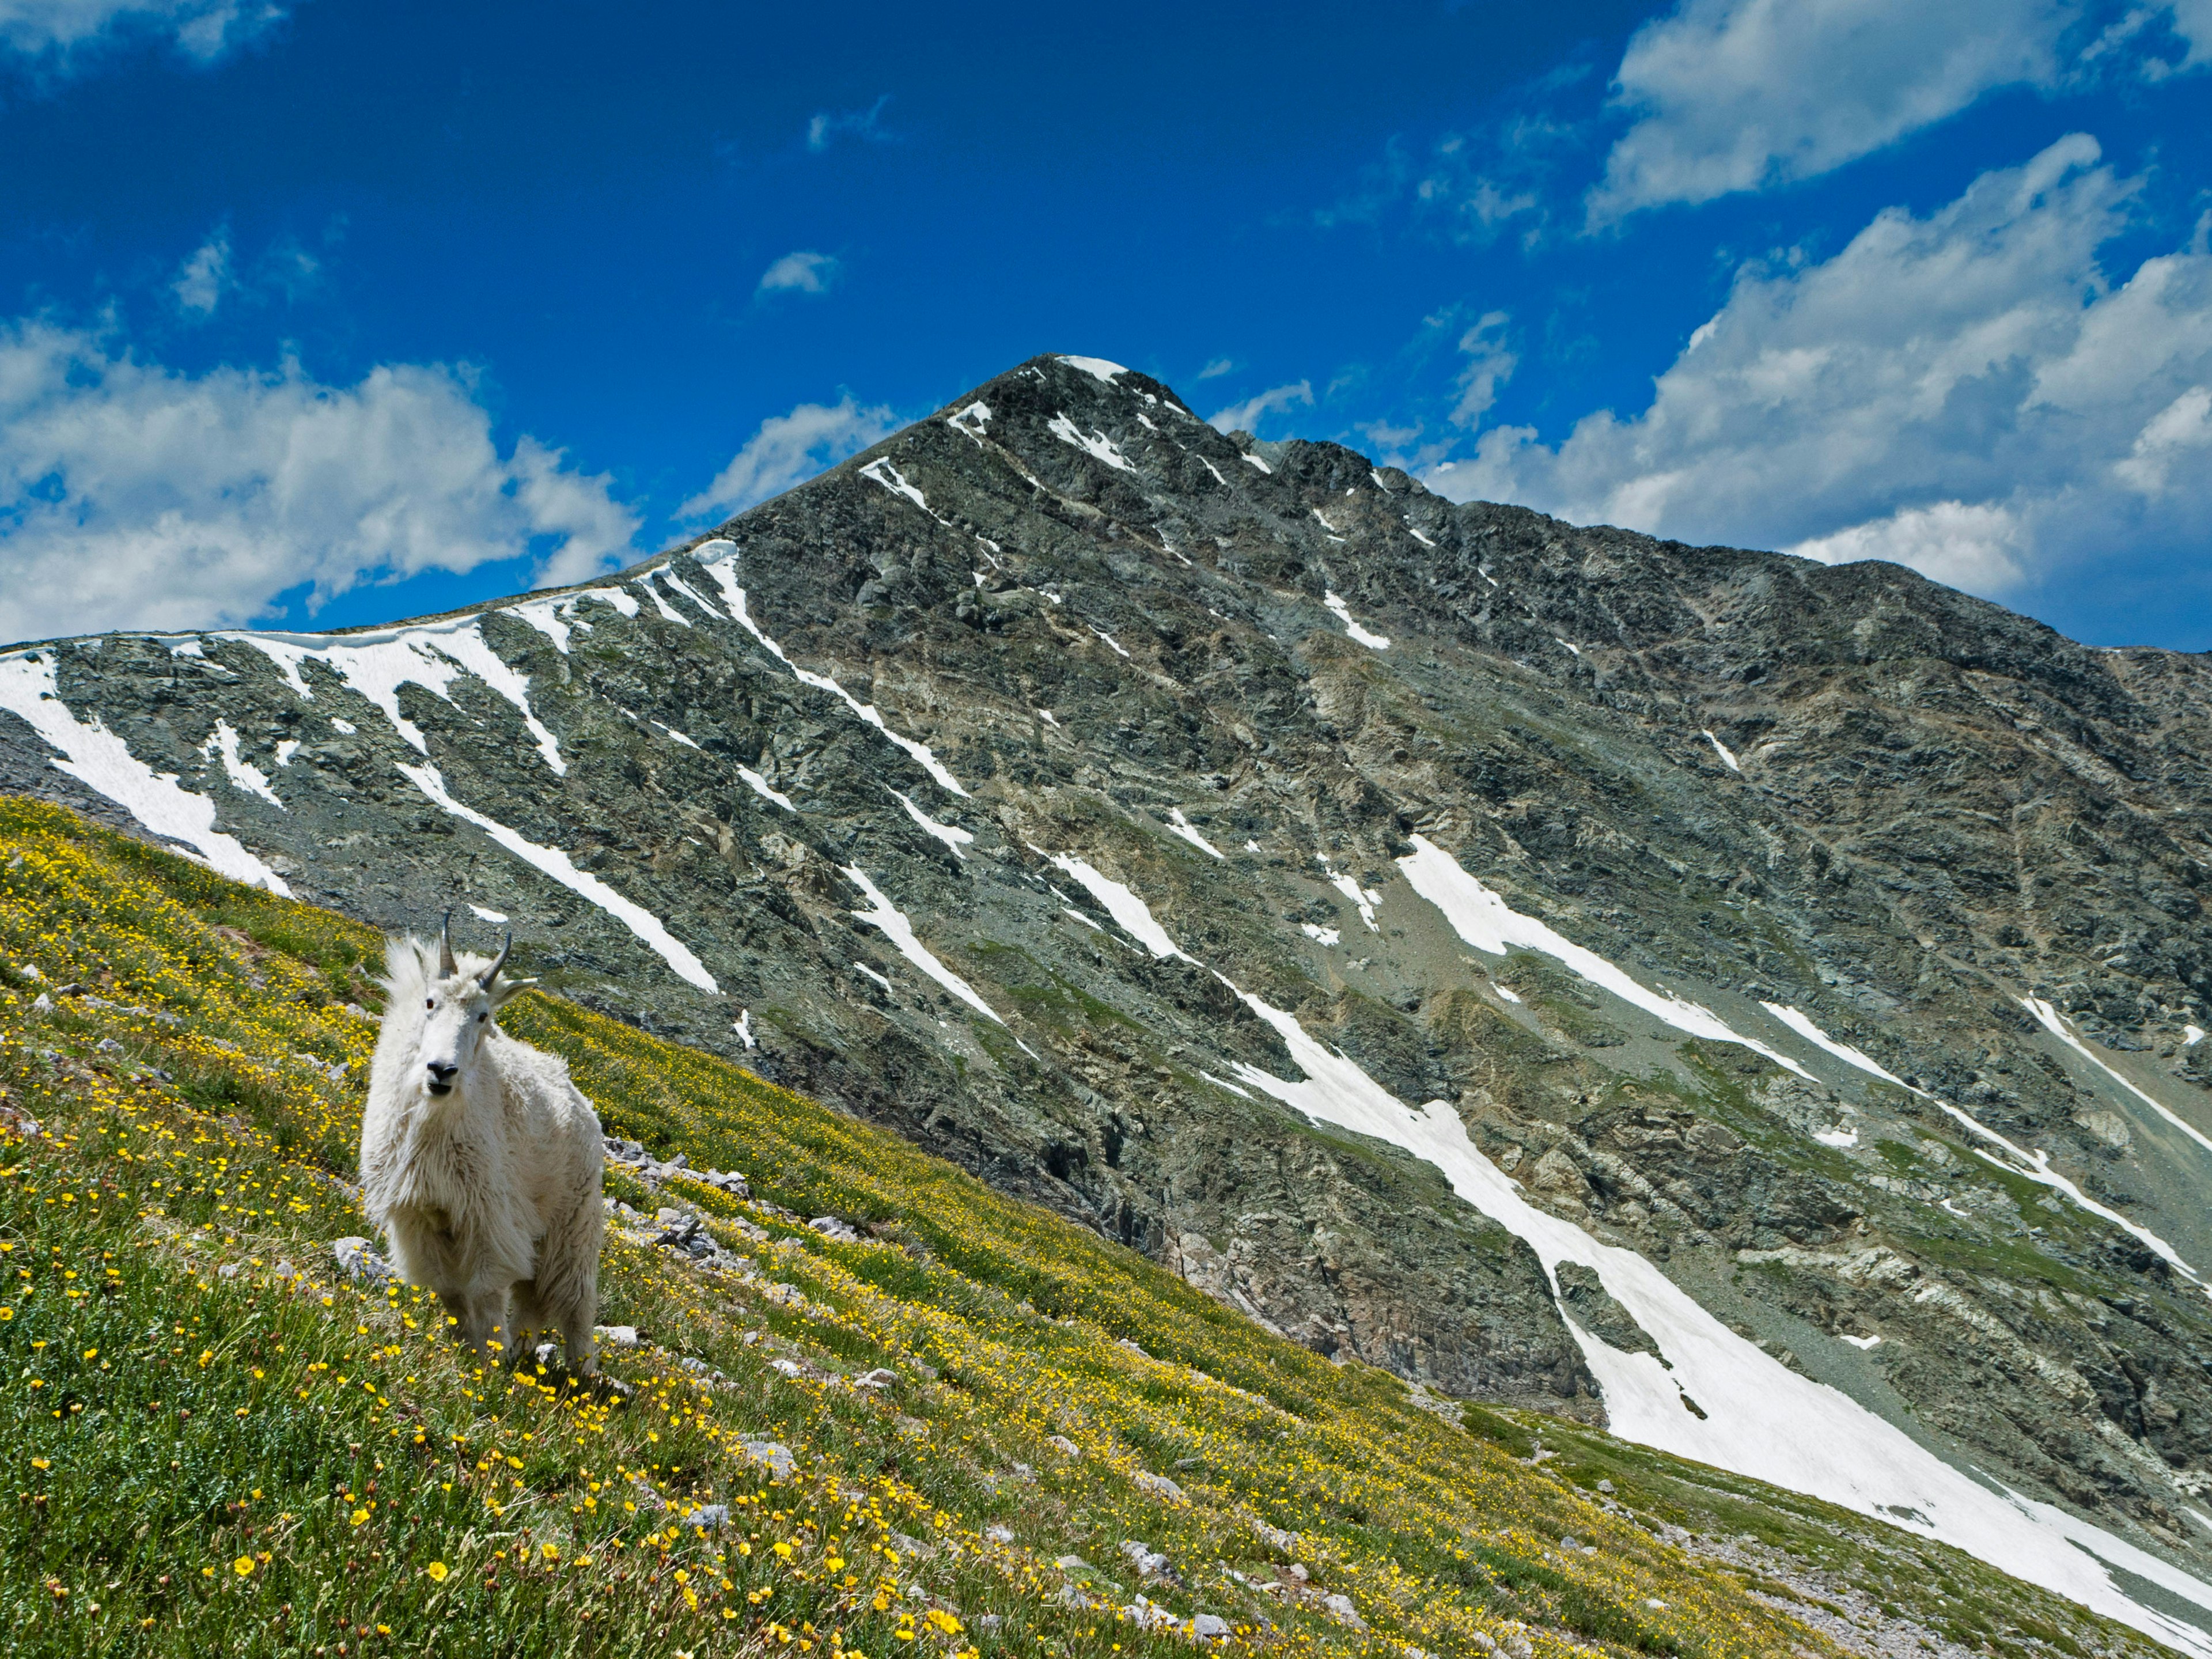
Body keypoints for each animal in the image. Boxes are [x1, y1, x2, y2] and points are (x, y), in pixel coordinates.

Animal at [362, 925, 606, 1380]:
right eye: (430, 1003)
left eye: (483, 1016)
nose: (441, 1071)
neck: (435, 1121)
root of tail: (584, 1103)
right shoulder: (419, 1214)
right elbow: (451, 1293)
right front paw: (465, 1353)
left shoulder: (488, 1214)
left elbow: (487, 1292)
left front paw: (491, 1363)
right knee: (533, 1296)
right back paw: (523, 1352)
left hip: (574, 1219)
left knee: (575, 1297)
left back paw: (580, 1374)